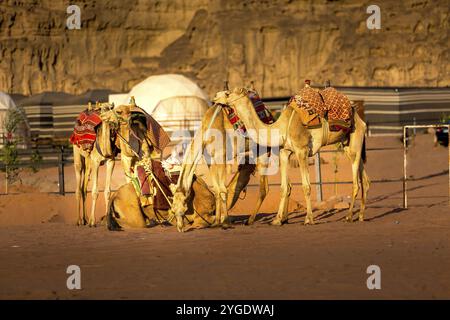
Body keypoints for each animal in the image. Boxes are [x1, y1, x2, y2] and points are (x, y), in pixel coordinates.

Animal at [214, 87, 370, 225]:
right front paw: (277, 220)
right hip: (348, 144)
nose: (215, 97)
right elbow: (284, 187)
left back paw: (349, 217)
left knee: (356, 183)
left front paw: (308, 219)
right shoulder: (284, 152)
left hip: (355, 140)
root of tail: (359, 117)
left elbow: (306, 186)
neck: (282, 127)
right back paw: (361, 216)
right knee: (365, 180)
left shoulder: (302, 151)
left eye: (228, 93)